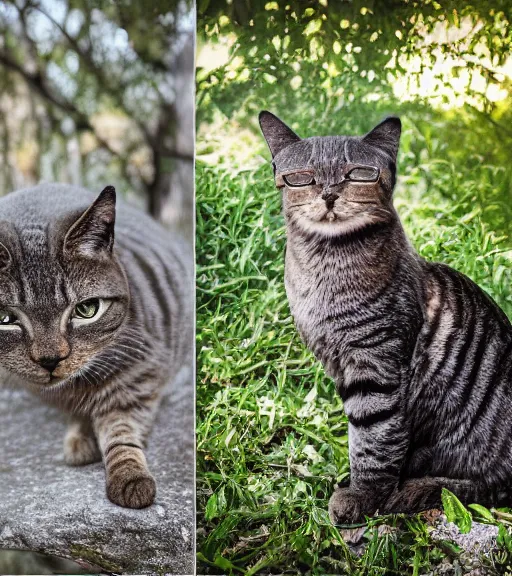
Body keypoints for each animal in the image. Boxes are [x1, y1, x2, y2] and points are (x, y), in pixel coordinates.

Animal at [0, 184, 191, 508]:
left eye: (86, 310)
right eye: (5, 319)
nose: (50, 359)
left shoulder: (140, 371)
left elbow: (121, 430)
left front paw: (129, 475)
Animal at [260, 110, 512, 524]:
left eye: (358, 174)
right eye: (304, 177)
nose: (329, 194)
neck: (325, 267)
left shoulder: (377, 365)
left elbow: (375, 439)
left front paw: (366, 496)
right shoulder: (342, 367)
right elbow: (364, 438)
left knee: (494, 486)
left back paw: (419, 489)